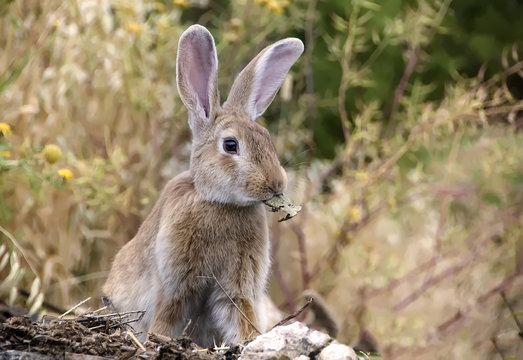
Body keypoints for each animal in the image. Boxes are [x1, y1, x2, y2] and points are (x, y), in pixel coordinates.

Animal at [101, 24, 302, 346]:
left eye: (267, 138)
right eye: (231, 145)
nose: (276, 184)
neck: (219, 203)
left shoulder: (237, 286)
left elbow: (241, 315)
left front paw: (251, 342)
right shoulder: (175, 282)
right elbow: (168, 315)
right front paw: (158, 341)